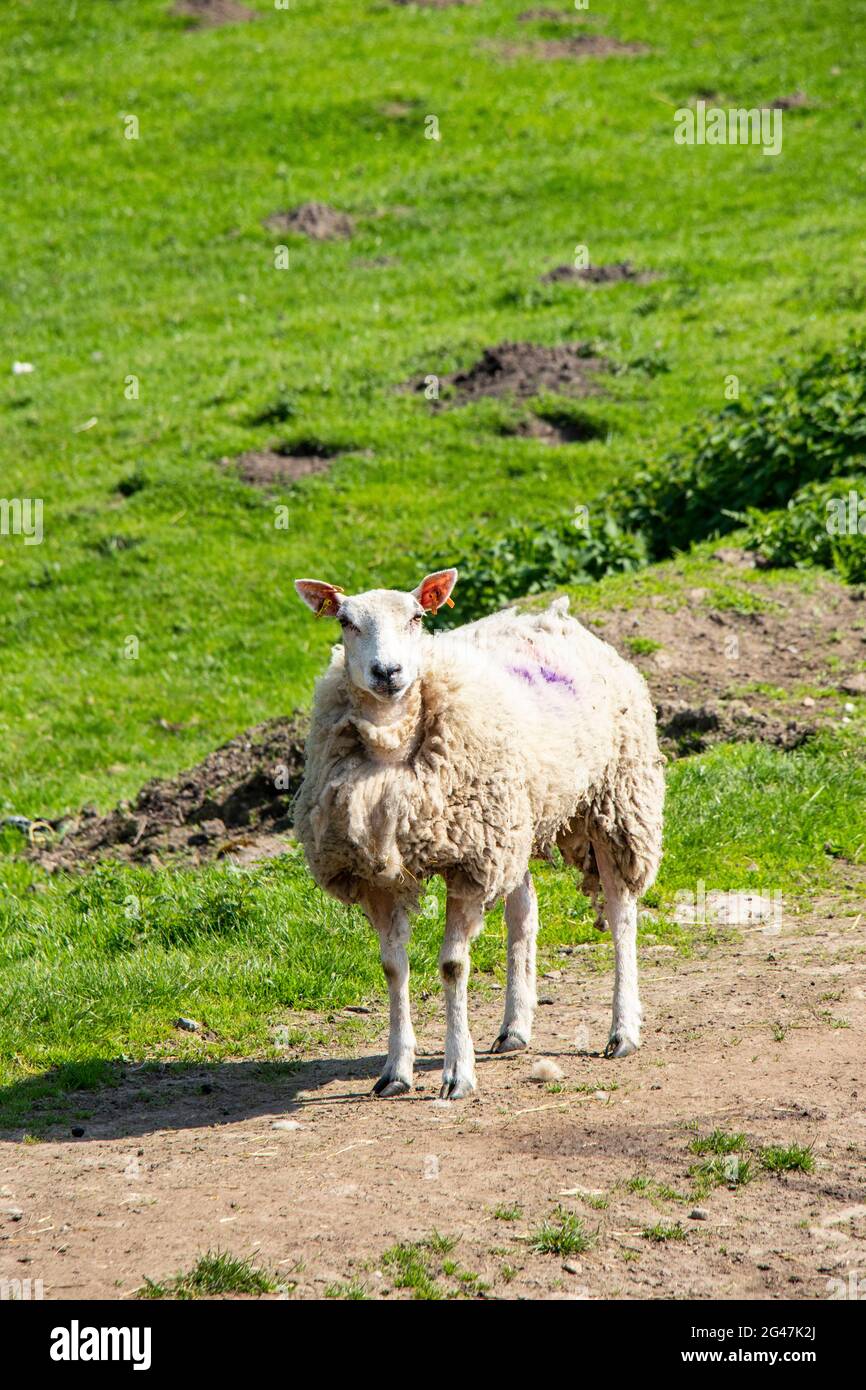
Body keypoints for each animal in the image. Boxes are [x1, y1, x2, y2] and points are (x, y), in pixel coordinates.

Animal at [293, 568, 665, 1100]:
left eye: (417, 617)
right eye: (345, 621)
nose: (388, 672)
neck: (391, 751)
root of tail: (551, 615)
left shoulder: (470, 863)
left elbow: (452, 966)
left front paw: (457, 1073)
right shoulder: (378, 873)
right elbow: (393, 968)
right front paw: (395, 1071)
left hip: (615, 802)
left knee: (621, 916)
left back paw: (622, 1030)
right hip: (516, 823)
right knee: (524, 910)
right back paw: (515, 1027)